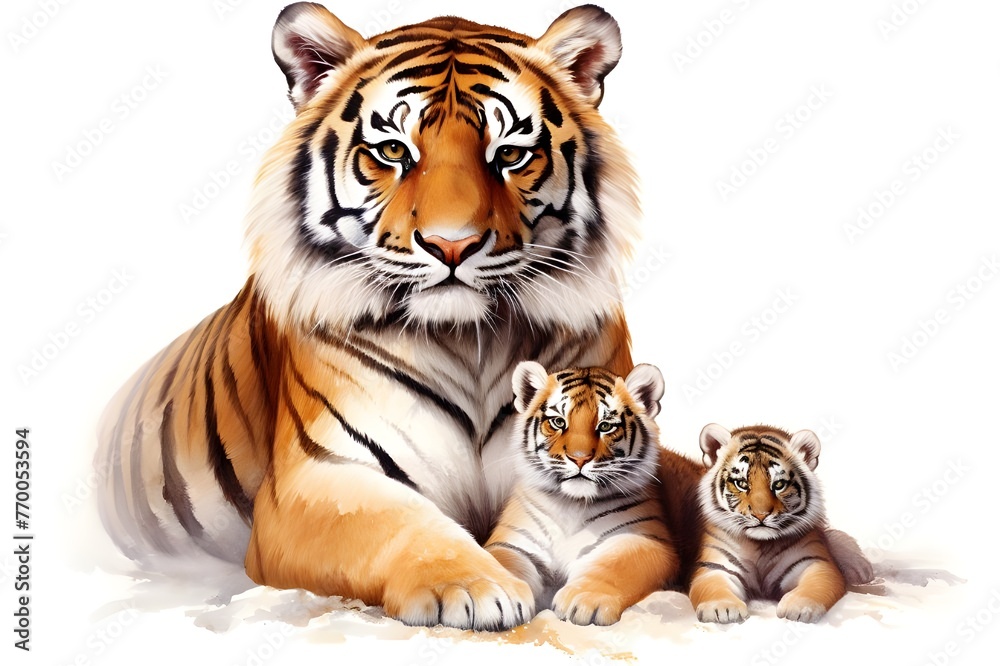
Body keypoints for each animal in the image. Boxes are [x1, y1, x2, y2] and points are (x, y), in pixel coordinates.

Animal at [95, 2, 642, 631]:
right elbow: (400, 523)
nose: (451, 245)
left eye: (509, 154)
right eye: (393, 152)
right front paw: (476, 587)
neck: (472, 343)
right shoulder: (315, 480)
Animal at [484, 362, 679, 626]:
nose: (579, 458)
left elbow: (617, 565)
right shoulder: (512, 543)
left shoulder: (647, 540)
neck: (572, 504)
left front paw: (584, 599)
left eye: (606, 426)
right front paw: (502, 594)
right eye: (558, 422)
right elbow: (500, 563)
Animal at [689, 424, 850, 623]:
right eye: (741, 483)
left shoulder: (815, 562)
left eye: (779, 484)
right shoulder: (715, 566)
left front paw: (799, 607)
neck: (759, 545)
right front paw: (722, 608)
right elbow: (713, 586)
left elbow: (815, 586)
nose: (761, 515)